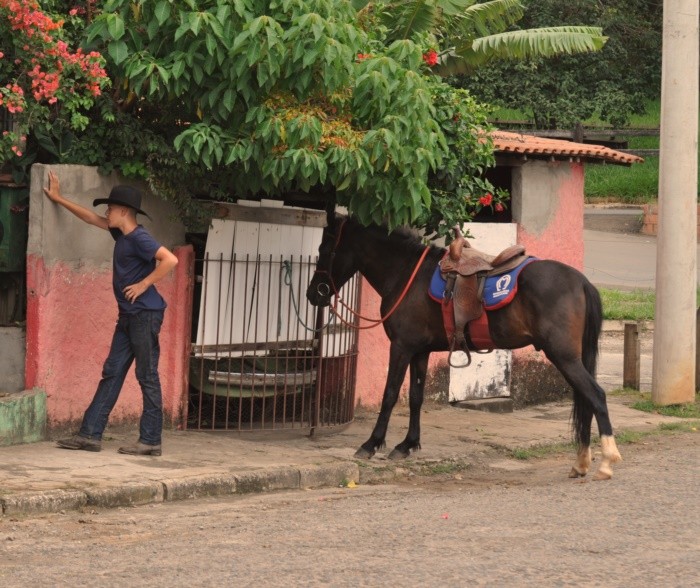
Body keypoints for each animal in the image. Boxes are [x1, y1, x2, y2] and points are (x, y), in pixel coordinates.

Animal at [308, 214, 624, 480]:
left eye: (324, 249)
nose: (314, 294)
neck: (406, 273)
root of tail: (581, 282)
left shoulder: (401, 347)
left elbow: (390, 395)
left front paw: (372, 444)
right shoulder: (420, 350)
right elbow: (416, 398)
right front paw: (408, 444)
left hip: (564, 357)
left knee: (596, 396)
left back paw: (606, 461)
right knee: (585, 400)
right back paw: (581, 463)